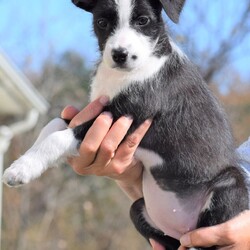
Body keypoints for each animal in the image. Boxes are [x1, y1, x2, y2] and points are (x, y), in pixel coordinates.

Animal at [2, 0, 249, 250]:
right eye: (102, 22)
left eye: (143, 20)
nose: (120, 55)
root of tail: (183, 229)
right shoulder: (97, 111)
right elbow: (53, 124)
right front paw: (24, 161)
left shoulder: (124, 115)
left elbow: (58, 137)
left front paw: (20, 171)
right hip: (139, 211)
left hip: (229, 183)